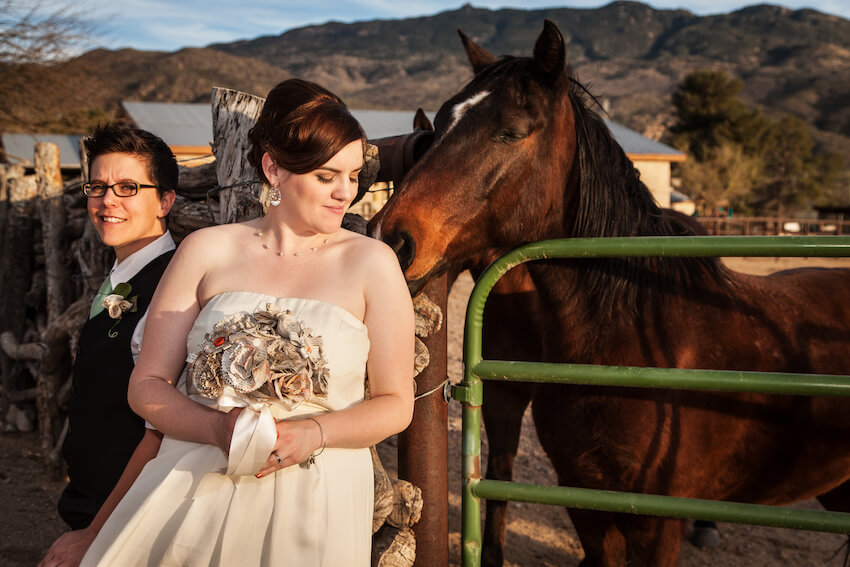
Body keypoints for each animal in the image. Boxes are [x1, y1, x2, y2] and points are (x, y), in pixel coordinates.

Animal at [372, 17, 850, 567]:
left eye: (510, 132)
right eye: (441, 124)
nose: (391, 238)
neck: (633, 346)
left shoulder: (657, 525)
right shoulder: (589, 508)